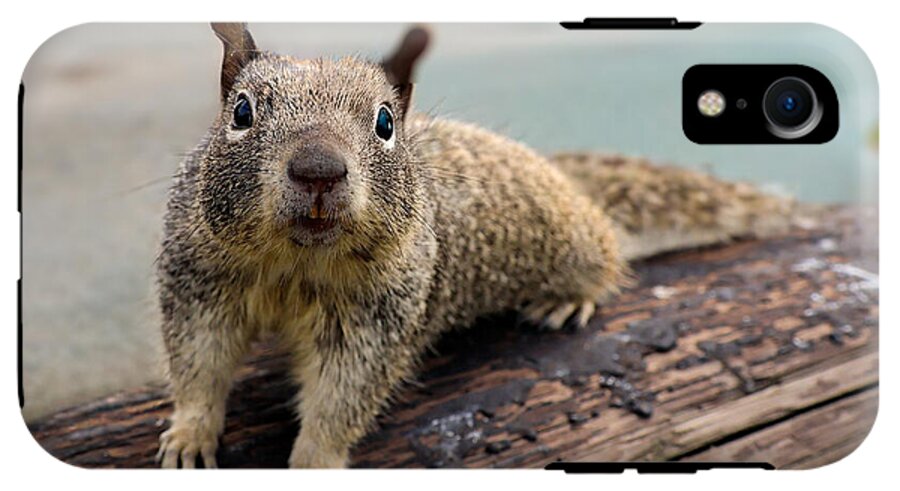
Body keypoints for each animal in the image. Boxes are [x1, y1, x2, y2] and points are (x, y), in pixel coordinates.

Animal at [157, 23, 793, 468]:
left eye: (385, 123)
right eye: (241, 111)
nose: (318, 169)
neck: (297, 262)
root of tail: (565, 181)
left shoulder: (377, 320)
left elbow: (343, 397)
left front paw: (314, 460)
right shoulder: (200, 282)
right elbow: (199, 363)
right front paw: (189, 434)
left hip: (576, 241)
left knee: (606, 253)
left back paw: (569, 297)